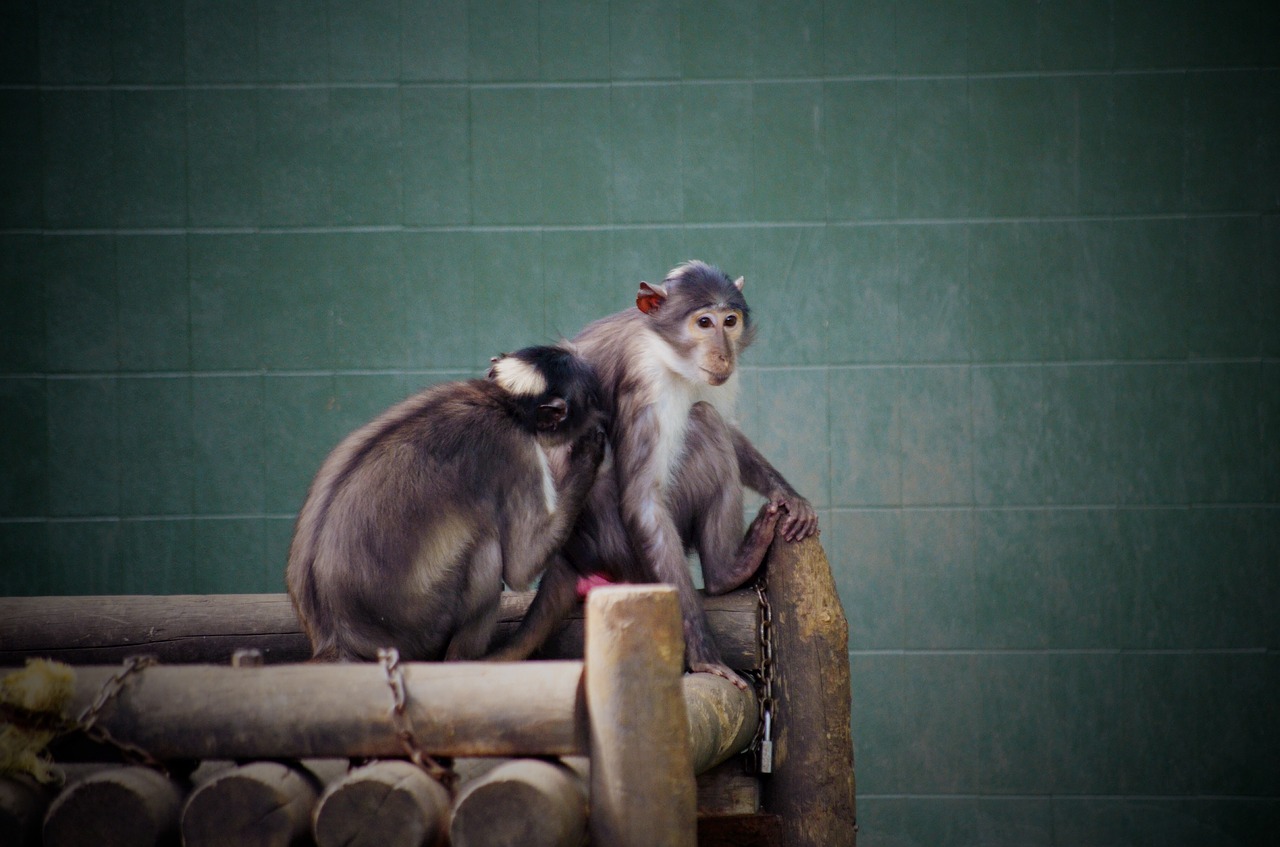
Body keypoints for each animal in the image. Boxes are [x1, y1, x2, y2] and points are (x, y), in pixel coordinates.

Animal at [288, 342, 606, 665]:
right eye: (591, 400)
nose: (600, 413)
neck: (500, 401)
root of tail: (335, 637)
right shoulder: (517, 449)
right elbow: (520, 568)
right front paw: (586, 455)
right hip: (423, 630)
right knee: (487, 551)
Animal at [488, 261, 819, 690]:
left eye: (729, 321)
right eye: (704, 322)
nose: (722, 353)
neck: (666, 349)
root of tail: (566, 558)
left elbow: (730, 430)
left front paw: (790, 495)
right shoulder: (645, 380)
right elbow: (644, 500)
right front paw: (704, 655)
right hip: (623, 549)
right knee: (703, 421)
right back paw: (726, 573)